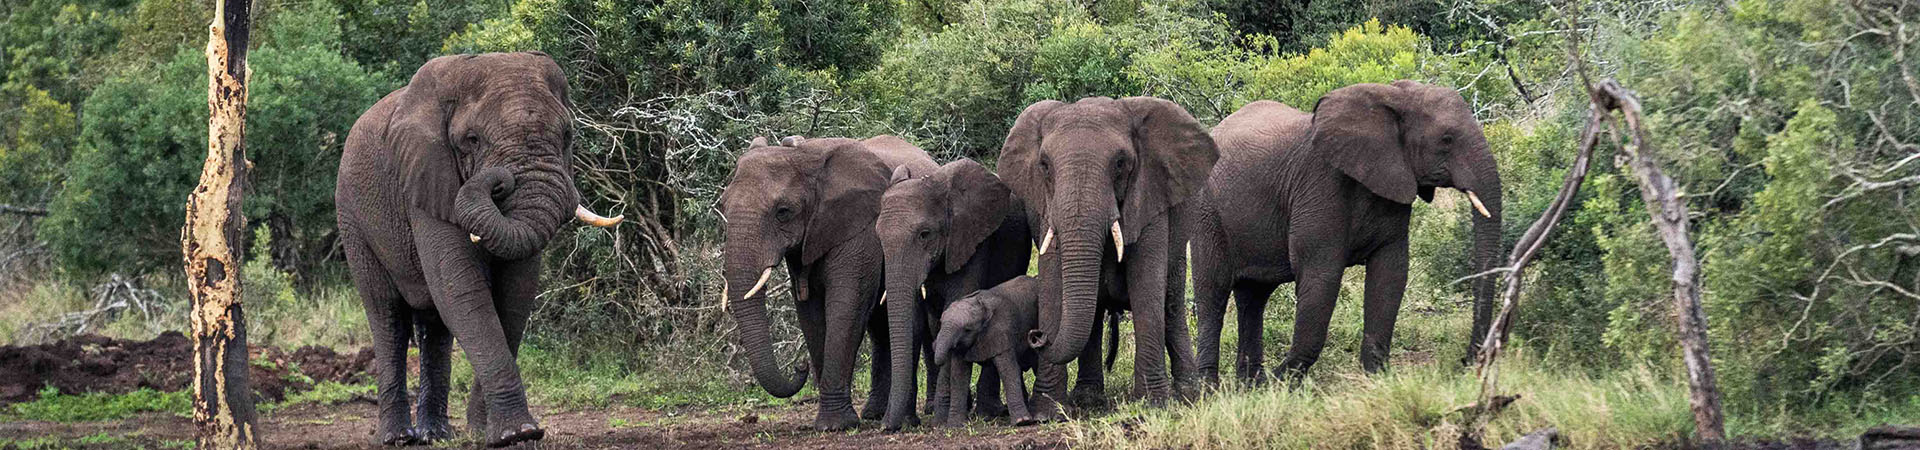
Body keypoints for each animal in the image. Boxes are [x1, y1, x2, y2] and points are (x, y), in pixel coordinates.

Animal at [335, 52, 623, 447]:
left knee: (434, 325)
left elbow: (515, 293)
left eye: (567, 136)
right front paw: (516, 432)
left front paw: (497, 432)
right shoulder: (425, 180)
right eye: (472, 140)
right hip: (352, 218)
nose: (498, 181)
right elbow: (461, 288)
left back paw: (435, 435)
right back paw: (398, 438)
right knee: (387, 314)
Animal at [719, 134, 935, 430]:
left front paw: (836, 425)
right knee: (881, 327)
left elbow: (846, 306)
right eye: (723, 206)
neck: (803, 156)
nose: (800, 366)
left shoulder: (859, 230)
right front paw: (831, 422)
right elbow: (809, 313)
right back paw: (874, 414)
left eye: (783, 212)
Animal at [931, 276, 1042, 427]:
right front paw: (955, 426)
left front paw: (1022, 422)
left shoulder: (1001, 330)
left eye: (967, 330)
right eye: (941, 323)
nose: (933, 344)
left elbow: (1008, 369)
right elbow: (959, 375)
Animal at [998, 96, 1219, 416]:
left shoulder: (1148, 193)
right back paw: (1088, 400)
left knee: (1171, 303)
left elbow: (1146, 287)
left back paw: (1189, 394)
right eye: (1044, 165)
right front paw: (1046, 412)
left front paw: (1153, 404)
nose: (1037, 335)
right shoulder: (1046, 210)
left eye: (1120, 163)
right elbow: (1052, 285)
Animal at [1189, 80, 1504, 384]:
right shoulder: (1319, 185)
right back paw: (1210, 389)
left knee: (1253, 297)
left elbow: (1390, 273)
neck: (1392, 97)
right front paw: (1281, 383)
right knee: (1213, 294)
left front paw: (1377, 380)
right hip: (1206, 213)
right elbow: (1321, 276)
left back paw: (1250, 386)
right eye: (1447, 139)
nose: (1466, 361)